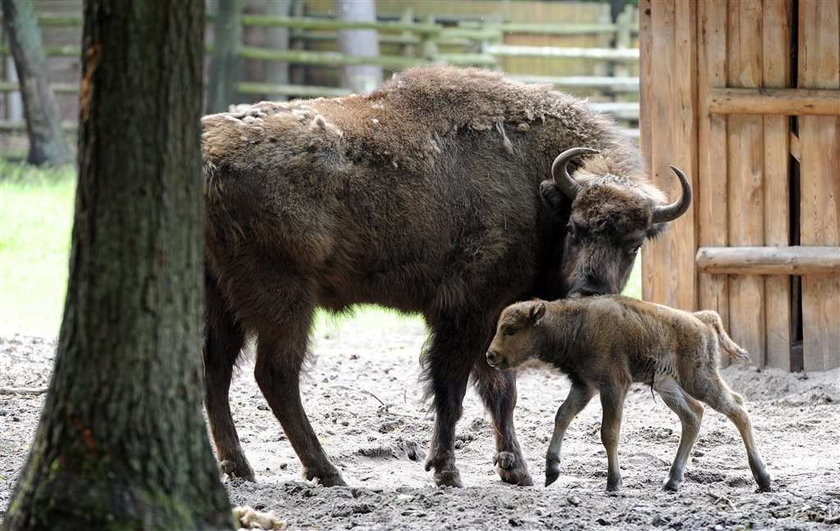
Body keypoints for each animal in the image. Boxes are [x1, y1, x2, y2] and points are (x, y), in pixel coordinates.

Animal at [202, 66, 688, 490]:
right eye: (574, 228)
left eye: (634, 244)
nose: (590, 290)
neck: (538, 189)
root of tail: (208, 160)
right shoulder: (467, 311)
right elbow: (453, 387)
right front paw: (447, 470)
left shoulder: (495, 320)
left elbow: (500, 391)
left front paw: (515, 470)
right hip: (284, 300)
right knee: (275, 375)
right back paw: (327, 472)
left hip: (221, 298)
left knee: (216, 369)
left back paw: (239, 467)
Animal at [482, 296, 772, 494]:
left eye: (511, 329)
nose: (490, 356)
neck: (577, 323)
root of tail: (702, 319)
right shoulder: (584, 386)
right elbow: (562, 415)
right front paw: (551, 471)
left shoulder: (613, 386)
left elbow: (609, 432)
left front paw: (614, 483)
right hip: (668, 386)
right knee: (693, 414)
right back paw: (671, 481)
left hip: (699, 380)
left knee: (736, 408)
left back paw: (763, 478)